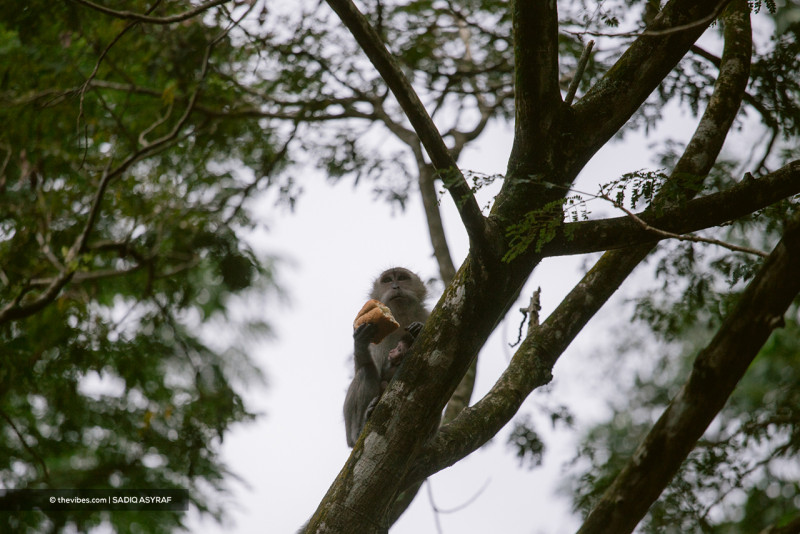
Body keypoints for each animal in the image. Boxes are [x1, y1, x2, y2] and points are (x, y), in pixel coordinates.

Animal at [344, 267, 429, 447]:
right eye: (388, 280)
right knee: (366, 372)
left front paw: (418, 329)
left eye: (402, 278)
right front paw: (360, 340)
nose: (395, 286)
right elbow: (365, 367)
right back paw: (359, 431)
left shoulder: (427, 315)